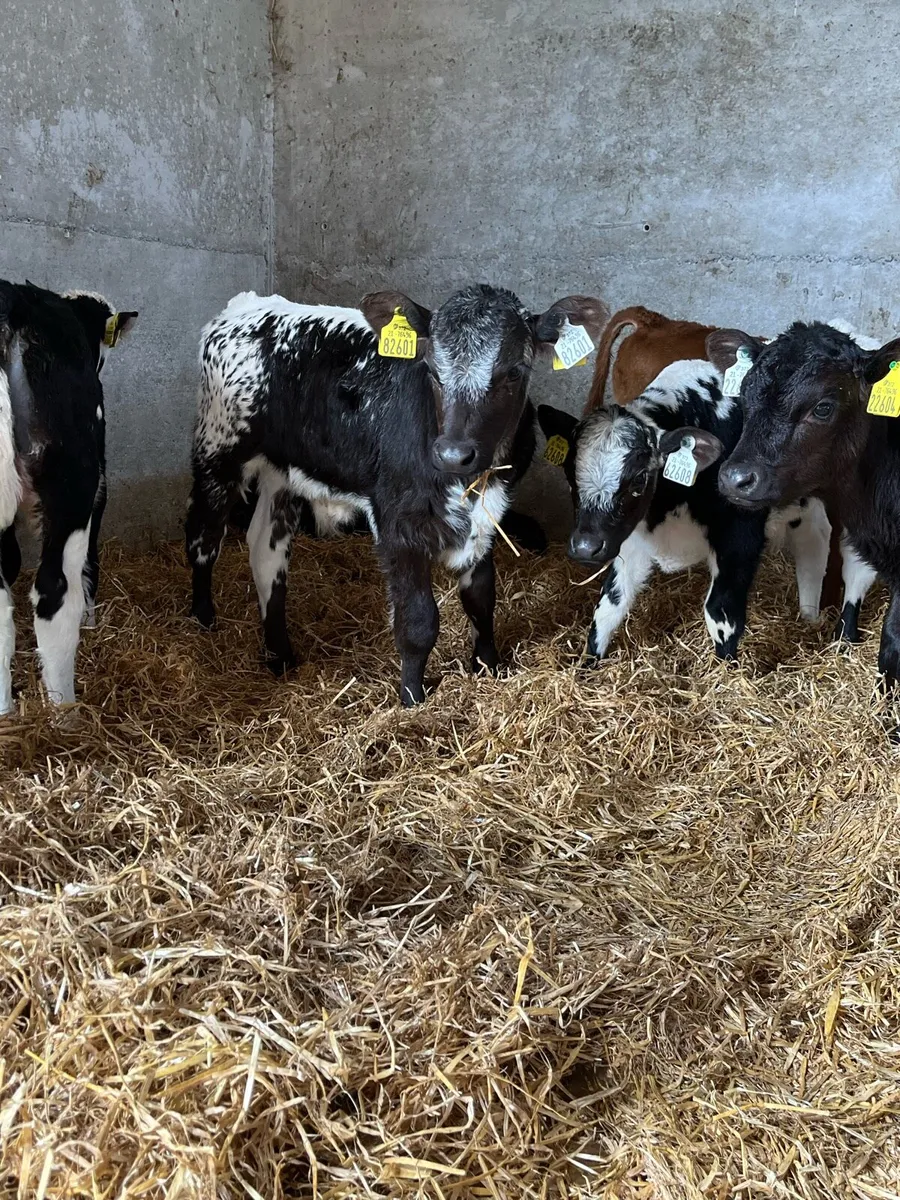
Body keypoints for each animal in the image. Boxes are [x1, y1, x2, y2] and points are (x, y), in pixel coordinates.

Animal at [185, 286, 609, 705]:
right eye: (433, 370)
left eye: (514, 372)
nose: (453, 454)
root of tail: (247, 305)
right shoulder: (396, 524)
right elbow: (418, 620)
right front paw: (412, 698)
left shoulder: (489, 516)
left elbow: (481, 597)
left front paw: (489, 666)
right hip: (217, 450)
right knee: (203, 539)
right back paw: (204, 620)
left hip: (283, 472)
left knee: (266, 551)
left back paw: (280, 656)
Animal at [537, 358, 831, 662]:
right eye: (569, 474)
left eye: (639, 479)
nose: (586, 547)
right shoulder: (630, 539)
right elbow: (609, 606)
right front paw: (589, 664)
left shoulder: (740, 538)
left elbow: (721, 614)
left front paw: (727, 669)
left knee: (815, 540)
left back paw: (809, 614)